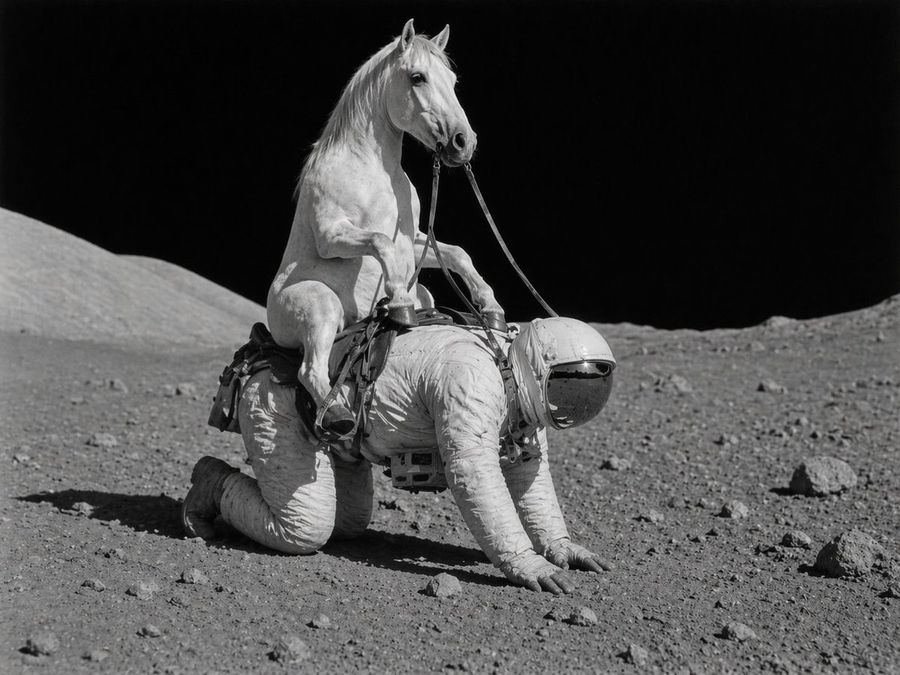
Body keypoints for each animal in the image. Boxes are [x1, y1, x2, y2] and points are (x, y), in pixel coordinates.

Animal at [267, 19, 504, 437]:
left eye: (453, 80)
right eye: (417, 77)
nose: (463, 142)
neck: (373, 169)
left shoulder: (416, 240)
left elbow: (457, 254)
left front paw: (489, 306)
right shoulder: (333, 236)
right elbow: (380, 243)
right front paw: (399, 303)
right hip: (321, 306)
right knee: (311, 370)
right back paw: (340, 414)